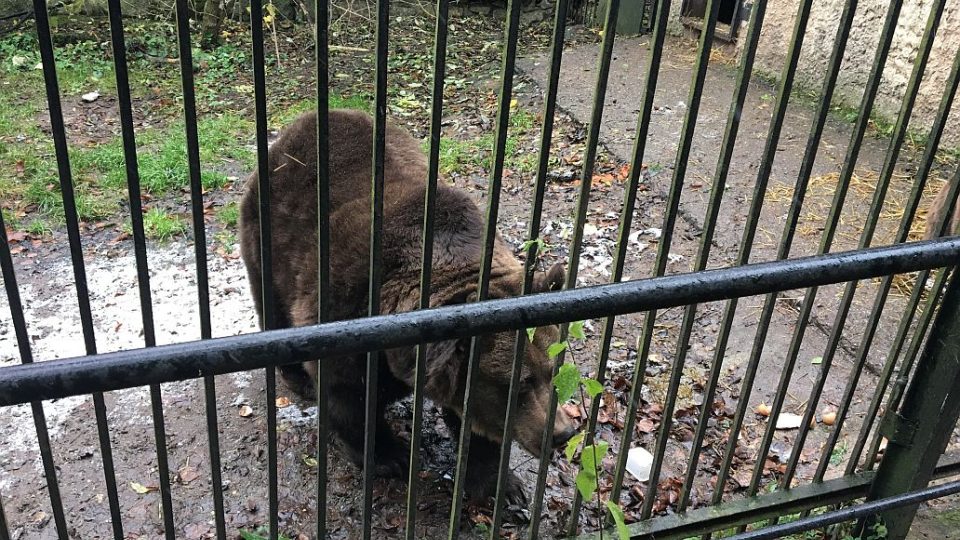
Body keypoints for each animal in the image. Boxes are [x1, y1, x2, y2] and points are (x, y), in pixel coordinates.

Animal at [238, 108, 576, 506]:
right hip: (269, 236)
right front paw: (390, 456)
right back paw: (298, 378)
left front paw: (499, 486)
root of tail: (298, 126)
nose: (562, 434)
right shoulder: (344, 307)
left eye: (552, 371)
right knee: (273, 306)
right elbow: (347, 396)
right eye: (519, 385)